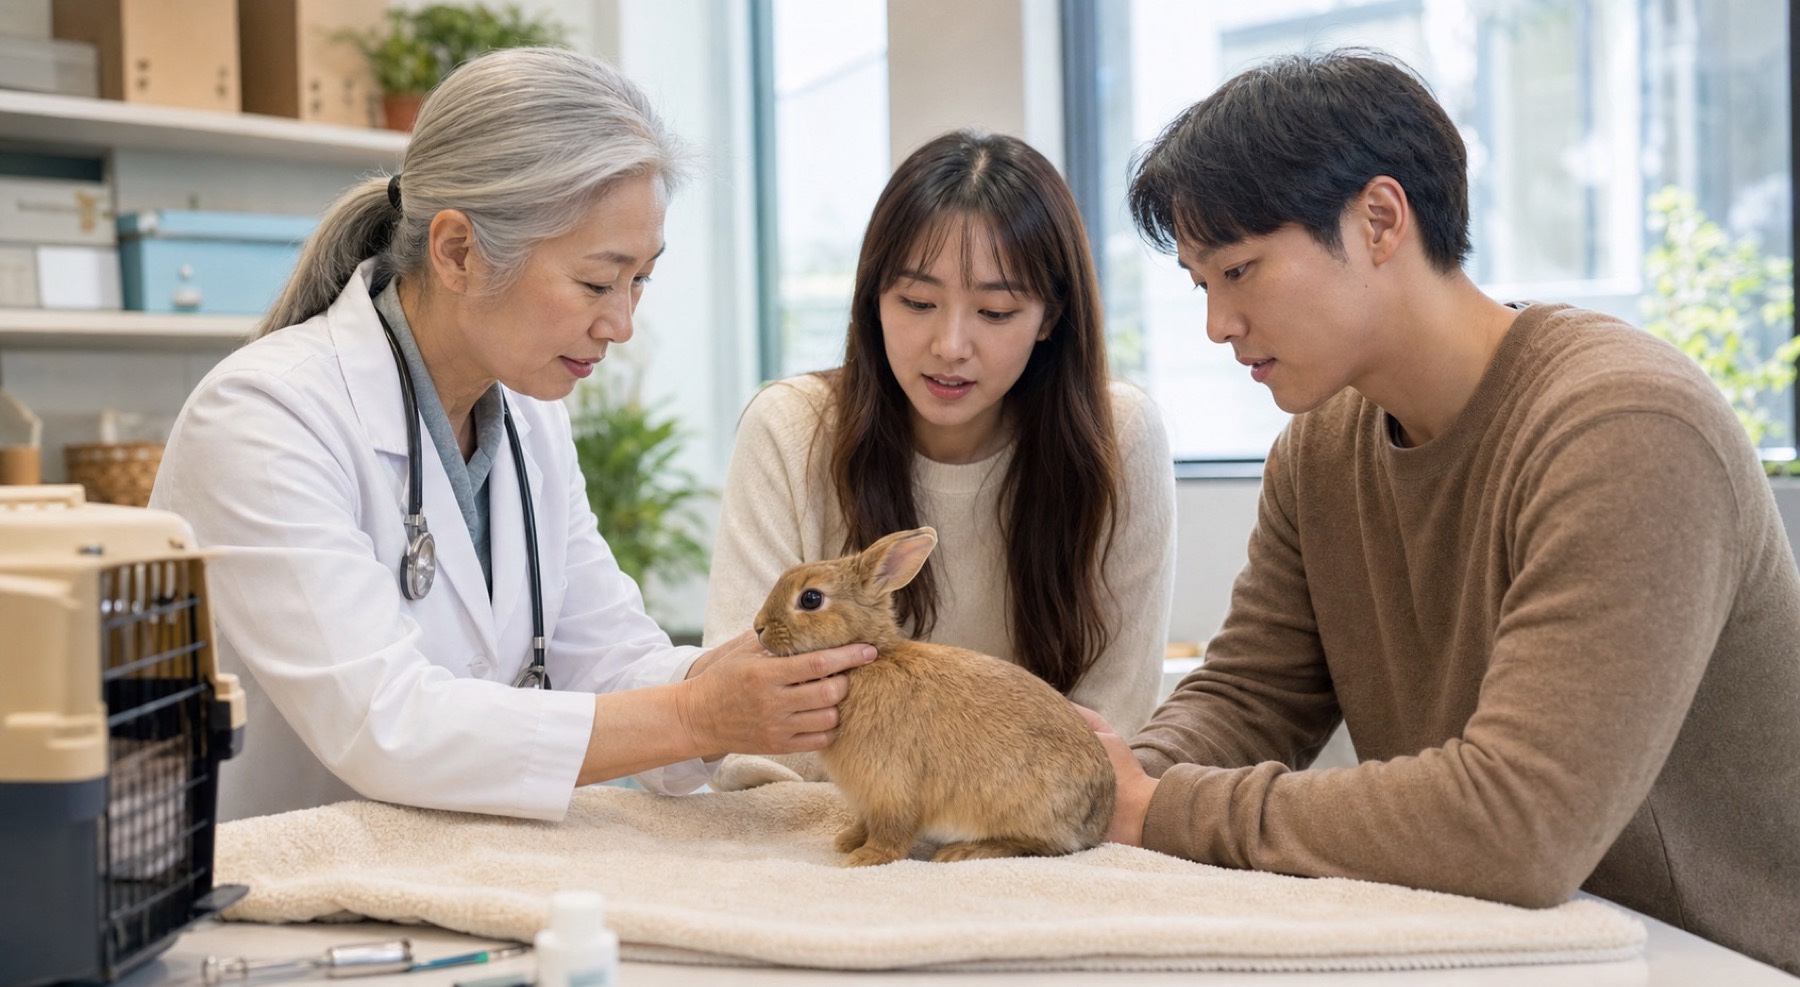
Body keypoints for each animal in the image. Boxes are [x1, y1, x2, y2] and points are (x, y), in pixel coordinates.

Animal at [752, 526, 1116, 867]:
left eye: (810, 599)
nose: (758, 628)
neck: (873, 661)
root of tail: (1098, 818)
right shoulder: (869, 796)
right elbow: (866, 821)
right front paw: (849, 840)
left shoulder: (890, 785)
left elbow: (891, 830)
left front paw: (865, 858)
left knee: (1038, 845)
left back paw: (962, 852)